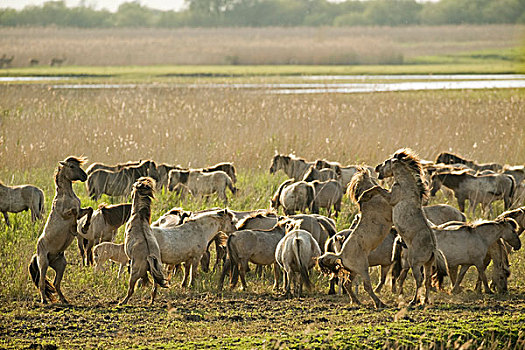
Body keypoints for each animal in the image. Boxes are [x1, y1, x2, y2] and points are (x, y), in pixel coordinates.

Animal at [28, 157, 93, 304]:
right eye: (71, 166)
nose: (85, 176)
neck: (66, 195)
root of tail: (36, 254)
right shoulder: (65, 213)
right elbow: (73, 212)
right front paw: (75, 229)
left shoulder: (81, 211)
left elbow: (89, 210)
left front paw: (85, 227)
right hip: (44, 263)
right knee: (42, 283)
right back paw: (44, 301)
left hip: (61, 265)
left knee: (56, 283)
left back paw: (64, 300)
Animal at [119, 176, 167, 304]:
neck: (139, 216)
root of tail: (149, 256)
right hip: (156, 272)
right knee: (155, 288)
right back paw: (151, 301)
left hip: (134, 274)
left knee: (131, 290)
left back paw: (122, 302)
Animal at [316, 168, 392, 308]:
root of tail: (340, 255)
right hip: (363, 269)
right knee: (366, 286)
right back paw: (379, 303)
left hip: (353, 271)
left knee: (347, 284)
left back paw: (356, 301)